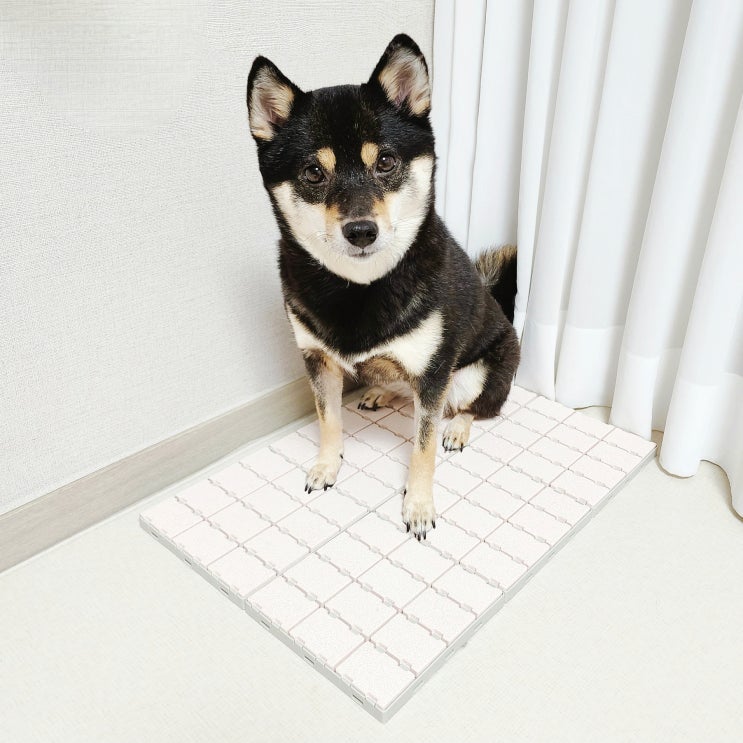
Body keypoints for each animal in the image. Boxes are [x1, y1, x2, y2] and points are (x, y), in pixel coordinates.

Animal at [246, 34, 520, 540]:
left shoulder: (434, 372)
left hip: (477, 373)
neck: (359, 288)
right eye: (313, 173)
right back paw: (382, 392)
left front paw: (419, 505)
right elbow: (329, 421)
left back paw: (458, 427)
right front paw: (326, 467)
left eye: (387, 162)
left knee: (473, 407)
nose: (361, 231)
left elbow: (422, 448)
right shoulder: (317, 361)